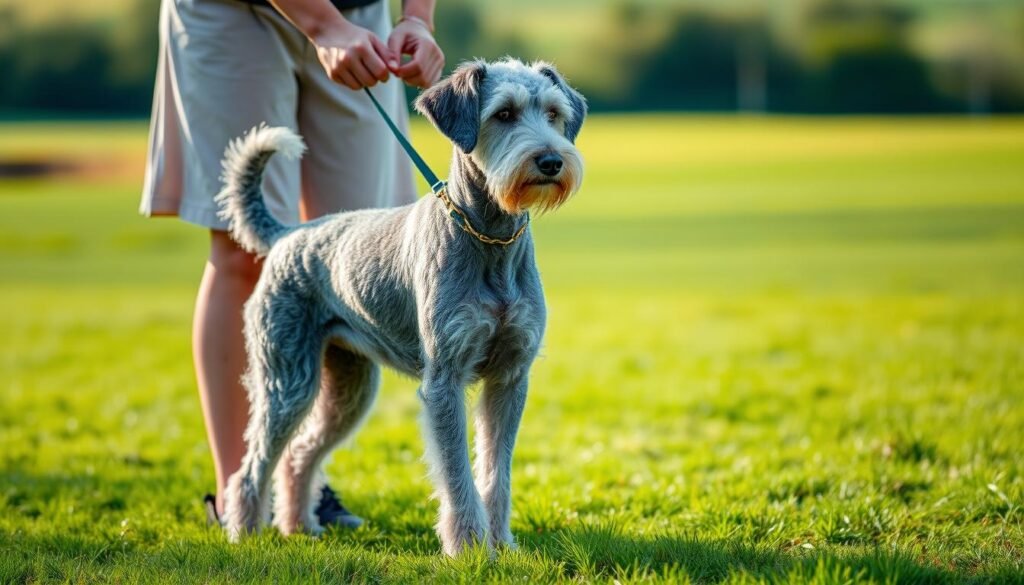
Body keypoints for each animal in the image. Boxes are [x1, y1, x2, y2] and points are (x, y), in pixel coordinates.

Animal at [216, 59, 585, 557]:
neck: (489, 241)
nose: (551, 161)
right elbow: (457, 473)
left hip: (348, 387)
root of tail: (287, 235)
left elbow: (497, 471)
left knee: (298, 455)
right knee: (253, 465)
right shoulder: (444, 379)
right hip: (286, 380)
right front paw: (470, 549)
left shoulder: (510, 377)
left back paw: (298, 526)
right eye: (504, 114)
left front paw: (501, 544)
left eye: (553, 113)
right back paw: (244, 535)